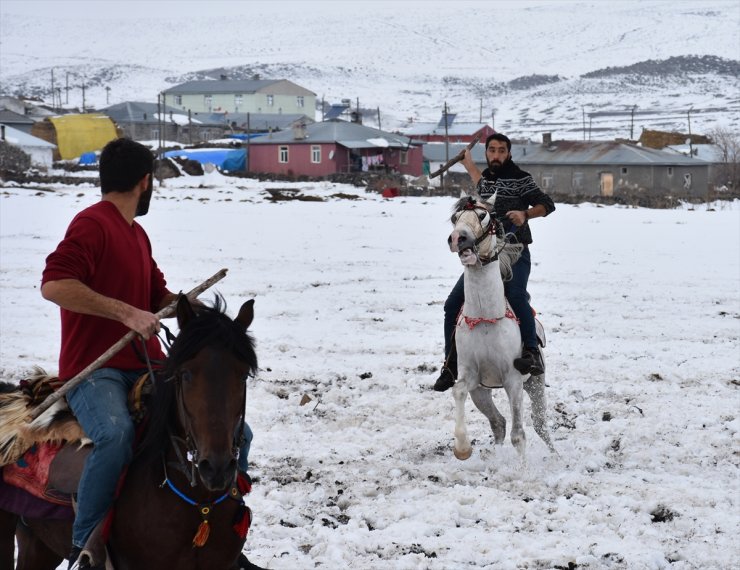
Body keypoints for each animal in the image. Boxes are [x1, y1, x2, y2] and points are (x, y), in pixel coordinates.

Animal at [446, 194, 556, 458]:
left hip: (536, 383)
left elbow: (519, 436)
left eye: (484, 215)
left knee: (539, 424)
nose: (458, 238)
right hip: (482, 392)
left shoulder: (513, 380)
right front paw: (462, 448)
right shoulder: (470, 376)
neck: (485, 318)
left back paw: (556, 457)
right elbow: (458, 390)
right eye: (455, 218)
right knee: (498, 423)